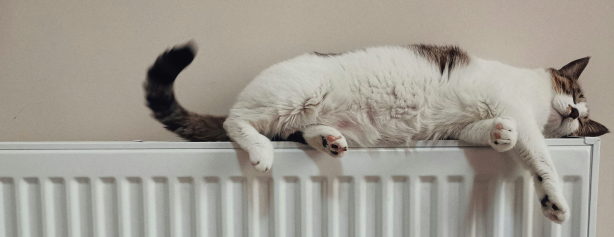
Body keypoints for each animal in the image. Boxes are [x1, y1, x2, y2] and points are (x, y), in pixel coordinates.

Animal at [144, 40, 612, 222]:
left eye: (580, 120)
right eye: (572, 92)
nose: (574, 111)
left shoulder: (464, 128)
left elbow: (496, 132)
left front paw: (501, 136)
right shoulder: (520, 111)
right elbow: (540, 157)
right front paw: (554, 201)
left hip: (299, 114)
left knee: (297, 131)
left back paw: (328, 139)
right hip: (294, 94)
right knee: (235, 122)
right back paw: (260, 151)